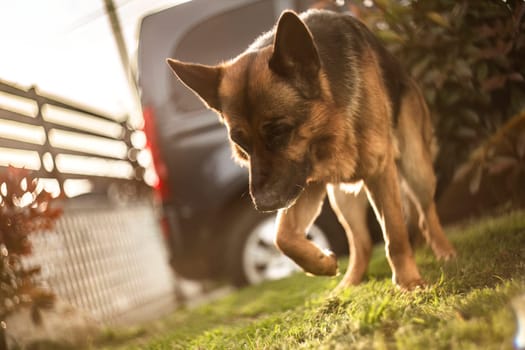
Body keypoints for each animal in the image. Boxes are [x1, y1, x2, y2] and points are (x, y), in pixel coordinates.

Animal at [168, 10, 454, 290]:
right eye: (241, 142)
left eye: (279, 131)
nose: (263, 204)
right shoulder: (304, 184)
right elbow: (282, 237)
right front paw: (321, 263)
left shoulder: (379, 171)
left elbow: (394, 234)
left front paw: (409, 282)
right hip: (342, 198)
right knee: (360, 243)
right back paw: (349, 283)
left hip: (417, 170)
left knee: (425, 215)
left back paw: (444, 252)